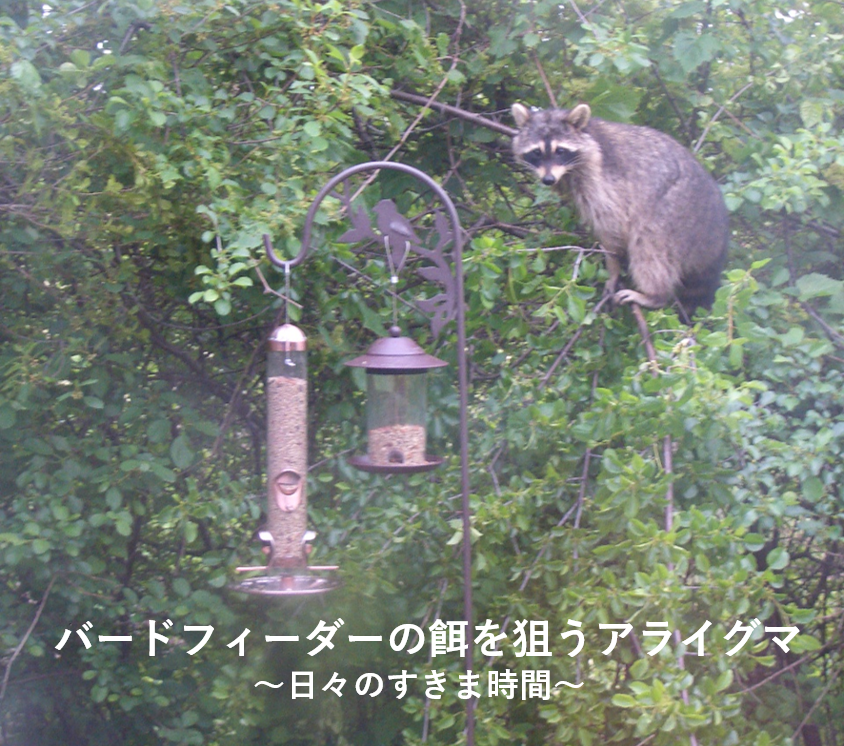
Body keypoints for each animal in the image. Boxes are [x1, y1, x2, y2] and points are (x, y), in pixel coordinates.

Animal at [512, 102, 728, 316]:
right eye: (537, 152)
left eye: (560, 151)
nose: (548, 180)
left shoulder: (600, 181)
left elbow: (613, 228)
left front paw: (613, 267)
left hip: (674, 211)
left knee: (649, 245)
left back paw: (655, 295)